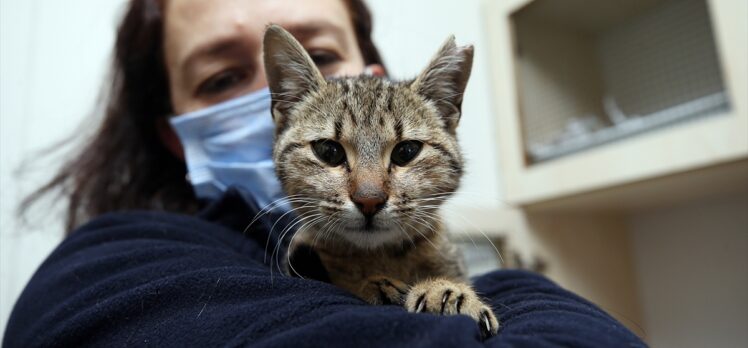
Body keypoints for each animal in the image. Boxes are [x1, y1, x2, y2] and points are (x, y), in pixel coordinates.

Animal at [262, 25, 496, 338]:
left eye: (406, 151)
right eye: (329, 151)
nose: (369, 200)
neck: (381, 256)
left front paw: (446, 292)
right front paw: (375, 285)